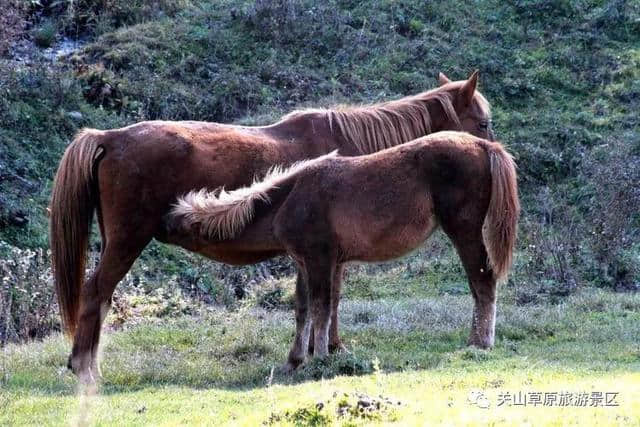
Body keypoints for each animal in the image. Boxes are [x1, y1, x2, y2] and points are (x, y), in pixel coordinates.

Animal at [174, 133, 520, 372]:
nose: (162, 229)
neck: (290, 197)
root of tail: (483, 145)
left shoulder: (320, 260)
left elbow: (322, 308)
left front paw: (319, 359)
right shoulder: (306, 263)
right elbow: (304, 309)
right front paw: (295, 359)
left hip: (464, 232)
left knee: (482, 282)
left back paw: (478, 344)